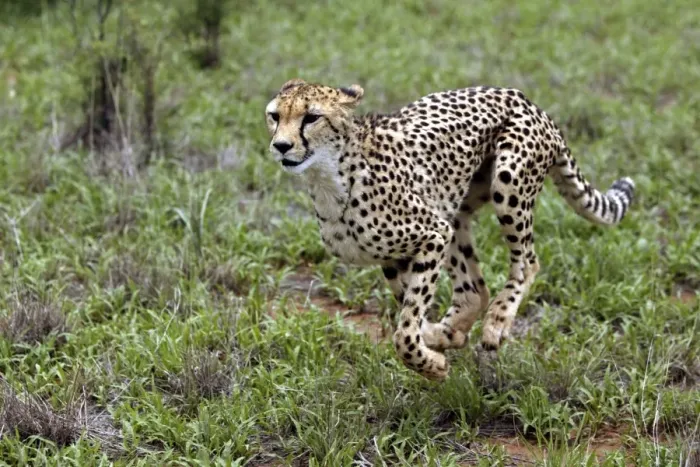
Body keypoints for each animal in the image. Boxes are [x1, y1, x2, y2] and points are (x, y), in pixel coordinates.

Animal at [264, 78, 635, 381]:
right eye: (274, 116)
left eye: (311, 118)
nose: (280, 146)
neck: (329, 178)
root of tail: (526, 99)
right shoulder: (398, 253)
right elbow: (409, 311)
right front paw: (439, 339)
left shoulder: (433, 234)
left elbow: (405, 331)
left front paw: (433, 365)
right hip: (455, 211)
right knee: (474, 289)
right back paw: (453, 329)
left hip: (507, 182)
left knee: (527, 262)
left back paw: (497, 321)